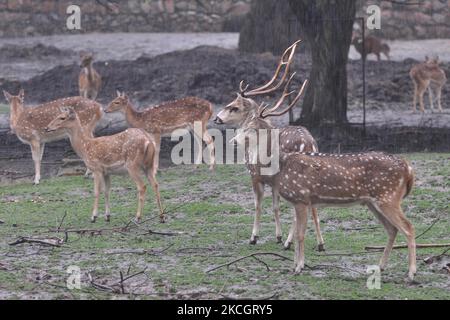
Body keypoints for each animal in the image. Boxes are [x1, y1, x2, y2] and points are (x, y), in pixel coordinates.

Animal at [214, 39, 324, 250]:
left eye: (234, 107)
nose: (216, 118)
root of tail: (308, 143)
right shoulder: (273, 181)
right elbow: (275, 206)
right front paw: (277, 236)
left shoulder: (255, 174)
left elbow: (258, 204)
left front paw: (254, 237)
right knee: (312, 206)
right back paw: (320, 243)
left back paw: (289, 243)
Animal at [227, 73, 416, 280]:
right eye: (244, 124)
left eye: (253, 128)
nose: (232, 141)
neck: (281, 167)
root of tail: (408, 168)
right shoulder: (299, 200)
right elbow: (298, 230)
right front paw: (295, 264)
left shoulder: (301, 198)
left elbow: (301, 234)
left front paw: (299, 266)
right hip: (373, 202)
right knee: (392, 229)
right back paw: (380, 267)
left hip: (388, 197)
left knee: (408, 227)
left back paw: (411, 272)